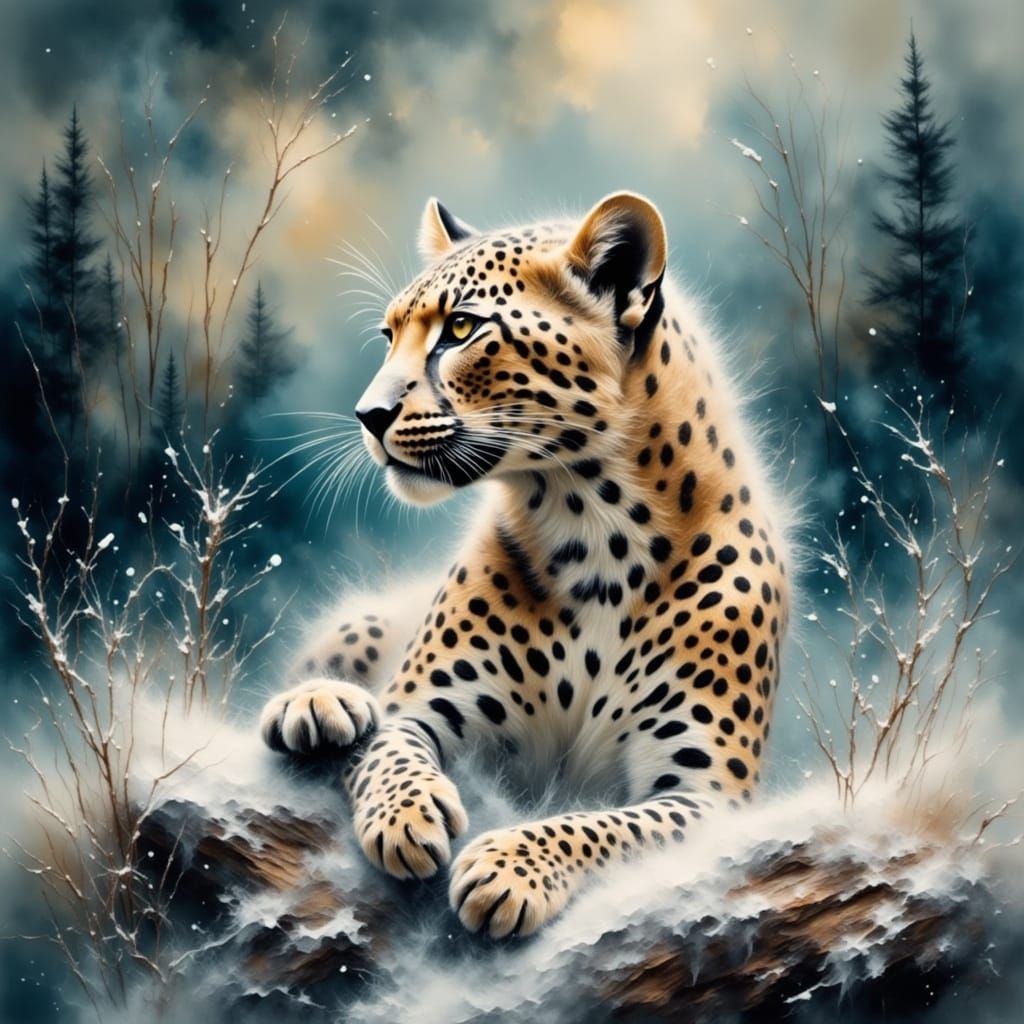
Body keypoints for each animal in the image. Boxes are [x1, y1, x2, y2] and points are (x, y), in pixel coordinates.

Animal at [260, 192, 791, 938]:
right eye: (389, 335)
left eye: (460, 328)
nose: (367, 414)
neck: (596, 530)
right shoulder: (417, 707)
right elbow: (388, 752)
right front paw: (406, 818)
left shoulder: (706, 792)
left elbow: (609, 829)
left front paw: (508, 867)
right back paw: (316, 705)